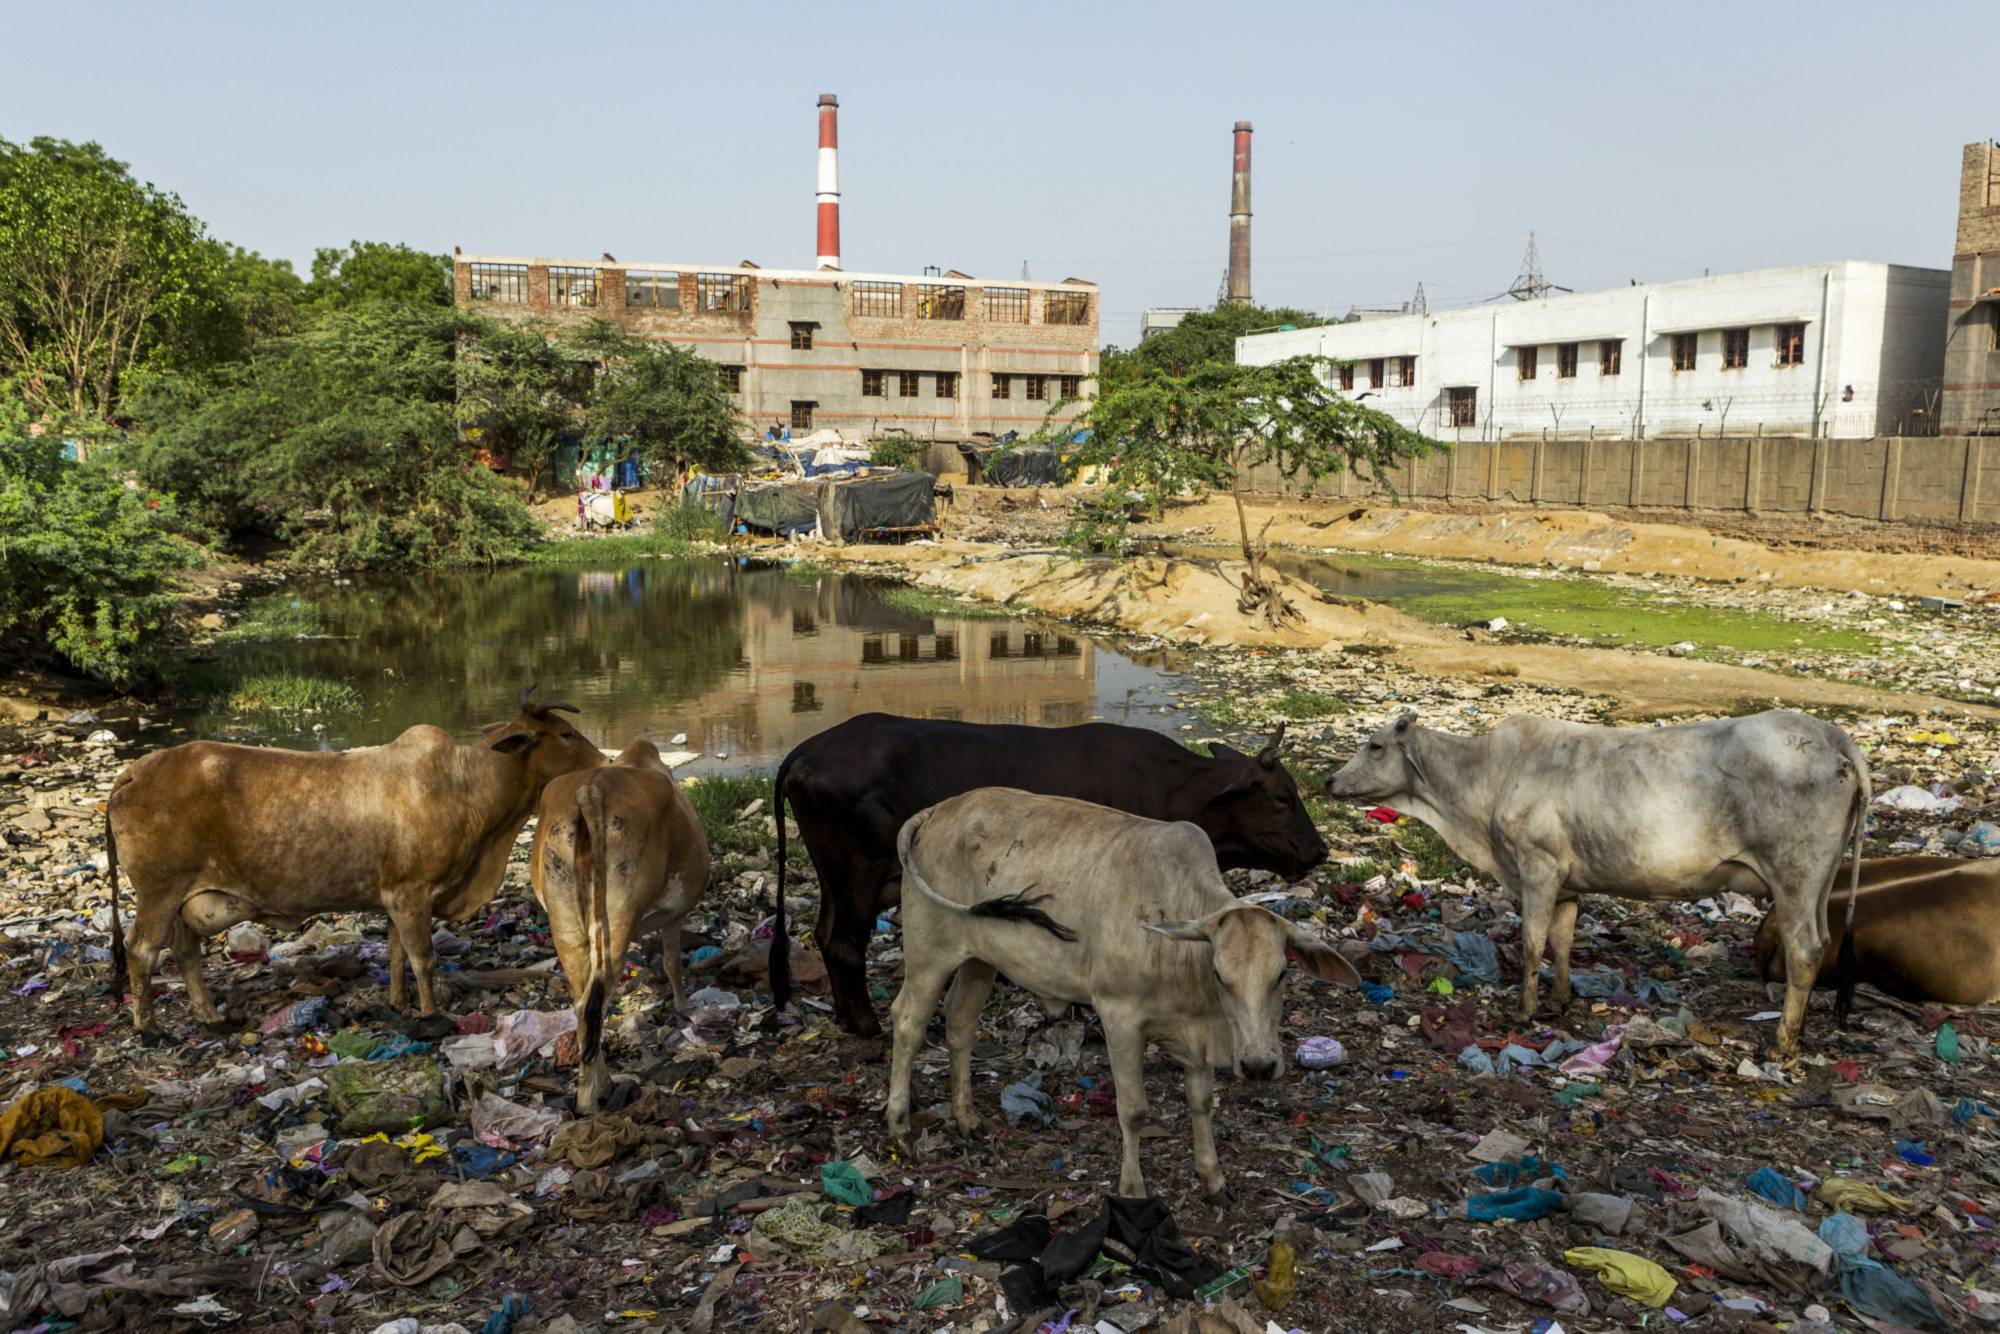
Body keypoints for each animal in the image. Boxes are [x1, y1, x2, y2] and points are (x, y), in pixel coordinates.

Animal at [107, 688, 600, 1032]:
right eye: (566, 734)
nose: (600, 759)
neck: (466, 788)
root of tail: (134, 770)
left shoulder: (395, 896)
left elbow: (397, 954)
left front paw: (399, 1002)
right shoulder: (411, 893)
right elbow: (423, 958)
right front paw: (431, 1012)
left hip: (183, 899)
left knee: (184, 950)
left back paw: (209, 1015)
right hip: (159, 890)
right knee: (141, 949)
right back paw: (148, 1027)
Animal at [532, 740, 712, 1120]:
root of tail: (592, 787)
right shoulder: (675, 914)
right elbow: (672, 963)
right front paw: (682, 1004)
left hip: (565, 919)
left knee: (582, 1005)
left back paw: (592, 1089)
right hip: (617, 917)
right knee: (595, 1004)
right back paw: (592, 1097)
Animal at [764, 716, 1328, 1040]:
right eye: (1283, 797)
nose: (1320, 850)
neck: (1176, 789)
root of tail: (806, 752)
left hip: (836, 878)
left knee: (824, 935)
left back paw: (846, 1018)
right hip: (857, 876)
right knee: (843, 945)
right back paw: (867, 1029)